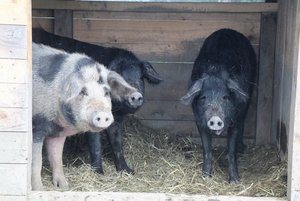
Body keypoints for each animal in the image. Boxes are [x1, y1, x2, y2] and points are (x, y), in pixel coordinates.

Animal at [33, 28, 163, 174]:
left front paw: (127, 171)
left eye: (141, 77)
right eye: (119, 77)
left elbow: (117, 143)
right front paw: (99, 172)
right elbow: (95, 145)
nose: (135, 95)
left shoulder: (117, 121)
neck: (115, 109)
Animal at [179, 29, 256, 183]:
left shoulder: (235, 119)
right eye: (203, 98)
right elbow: (207, 149)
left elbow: (231, 150)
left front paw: (235, 181)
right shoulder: (199, 120)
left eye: (225, 97)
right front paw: (205, 176)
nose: (215, 118)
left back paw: (241, 149)